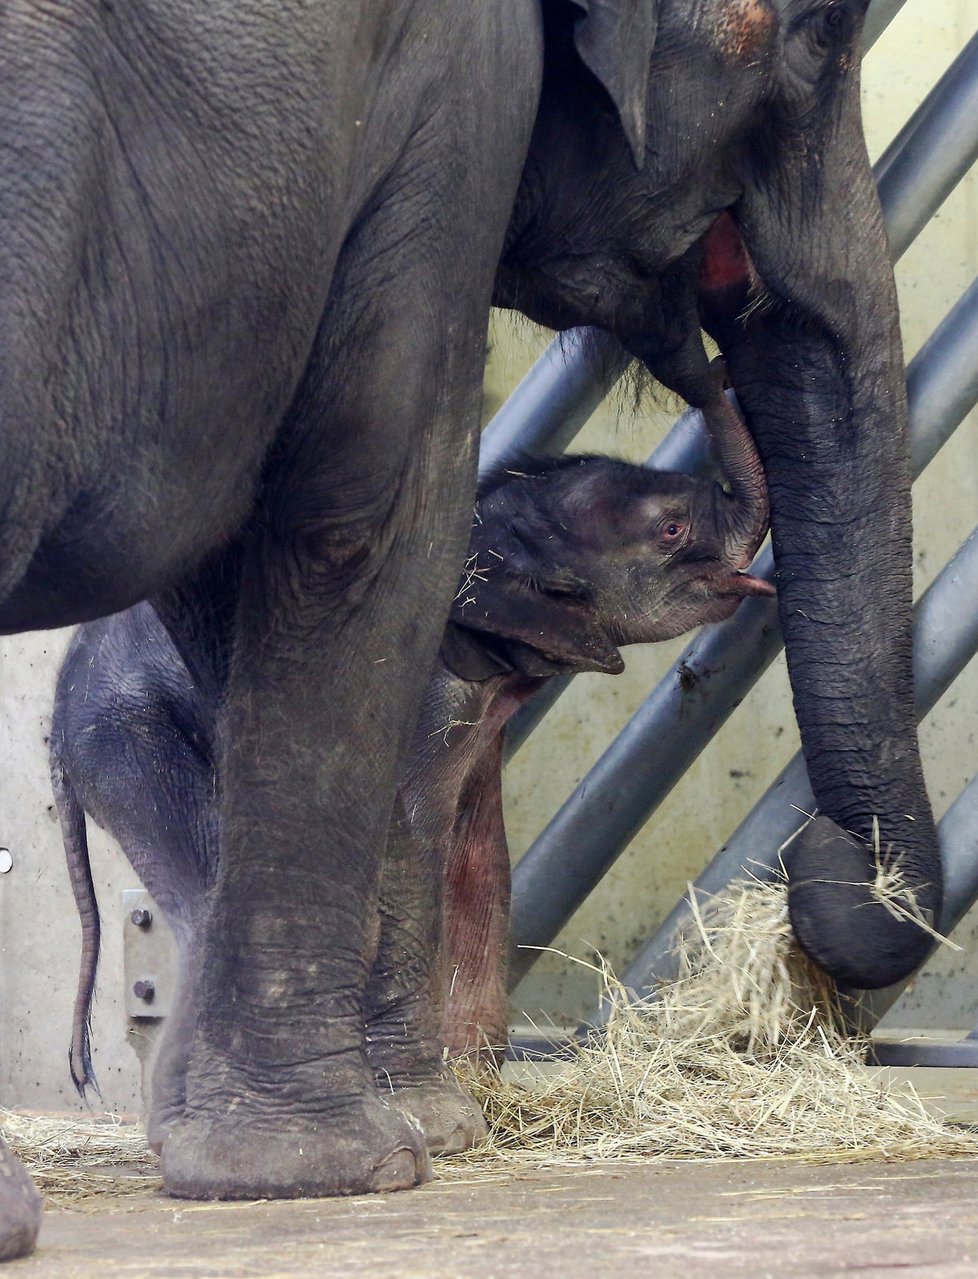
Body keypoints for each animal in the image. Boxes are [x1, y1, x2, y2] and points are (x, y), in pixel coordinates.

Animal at [51, 378, 772, 1151]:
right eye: (671, 529)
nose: (716, 375)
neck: (488, 523)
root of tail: (56, 723)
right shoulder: (415, 692)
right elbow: (416, 843)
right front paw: (437, 1119)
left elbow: (481, 858)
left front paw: (478, 1091)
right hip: (132, 739)